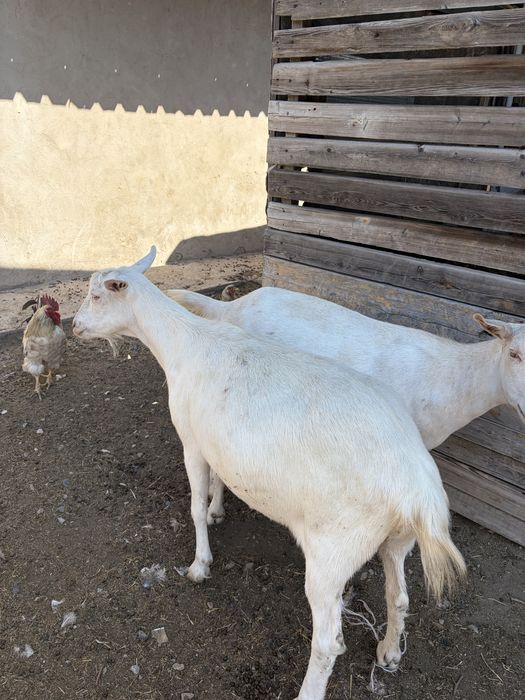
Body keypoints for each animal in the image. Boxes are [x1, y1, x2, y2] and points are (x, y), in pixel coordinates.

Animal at [73, 247, 465, 700]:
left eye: (97, 294)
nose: (75, 326)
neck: (182, 345)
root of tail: (417, 488)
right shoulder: (217, 442)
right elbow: (220, 481)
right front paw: (218, 510)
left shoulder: (191, 440)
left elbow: (193, 507)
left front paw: (200, 564)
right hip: (397, 539)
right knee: (398, 597)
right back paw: (388, 653)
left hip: (334, 550)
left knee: (329, 642)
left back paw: (309, 691)